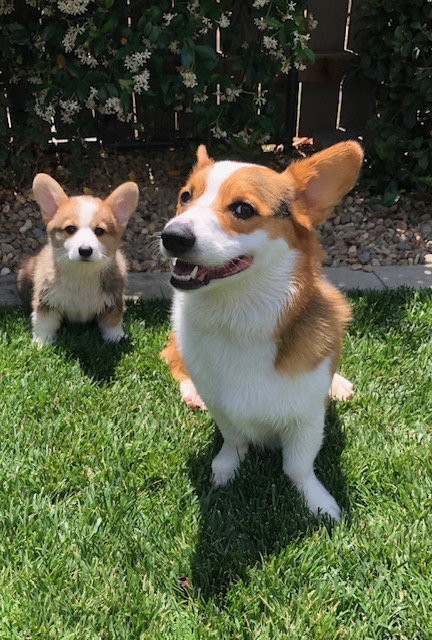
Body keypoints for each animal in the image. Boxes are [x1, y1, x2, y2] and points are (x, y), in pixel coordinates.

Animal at [16, 174, 138, 344]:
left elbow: (112, 322)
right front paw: (41, 343)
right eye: (70, 229)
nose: (85, 250)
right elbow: (44, 323)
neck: (82, 273)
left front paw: (116, 339)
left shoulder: (114, 301)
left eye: (99, 231)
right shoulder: (46, 301)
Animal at [160, 144, 362, 520]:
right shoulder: (223, 409)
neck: (238, 318)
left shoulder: (308, 419)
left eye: (243, 209)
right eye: (185, 196)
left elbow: (297, 466)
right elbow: (234, 441)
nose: (172, 237)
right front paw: (224, 470)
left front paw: (318, 503)